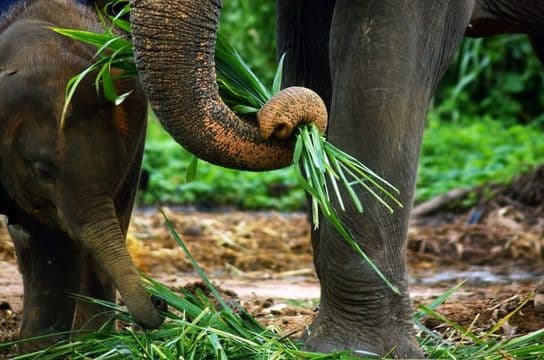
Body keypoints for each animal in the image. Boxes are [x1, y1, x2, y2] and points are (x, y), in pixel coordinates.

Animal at [0, 0, 164, 350]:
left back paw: (95, 345)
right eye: (43, 172)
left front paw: (42, 352)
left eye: (114, 167)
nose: (161, 301)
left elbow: (55, 246)